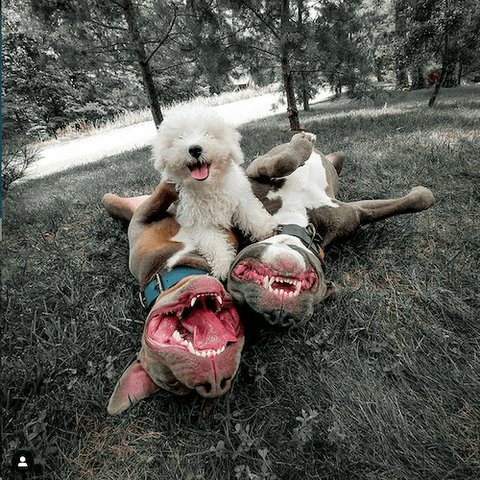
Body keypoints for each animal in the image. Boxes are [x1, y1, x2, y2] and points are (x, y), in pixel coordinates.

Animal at [101, 182, 244, 414]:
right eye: (174, 384)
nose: (214, 384)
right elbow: (164, 193)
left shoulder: (141, 221)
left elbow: (162, 194)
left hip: (114, 201)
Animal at [150, 105, 278, 278]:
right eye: (179, 138)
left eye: (208, 134)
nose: (194, 149)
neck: (208, 187)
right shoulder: (197, 220)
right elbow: (211, 242)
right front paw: (222, 265)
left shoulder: (240, 196)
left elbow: (251, 214)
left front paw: (265, 229)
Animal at [227, 133, 434, 328]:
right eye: (244, 307)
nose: (279, 317)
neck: (293, 221)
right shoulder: (254, 172)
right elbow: (284, 161)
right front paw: (302, 141)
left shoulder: (352, 214)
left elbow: (420, 200)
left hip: (339, 157)